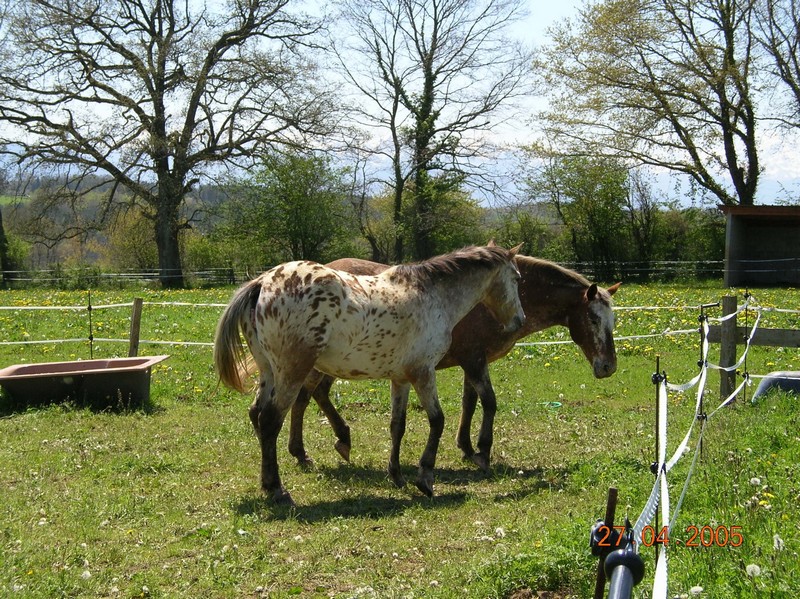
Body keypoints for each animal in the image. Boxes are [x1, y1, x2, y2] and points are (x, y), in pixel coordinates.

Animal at [212, 244, 524, 506]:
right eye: (517, 278)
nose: (518, 321)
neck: (432, 296)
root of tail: (262, 283)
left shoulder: (401, 378)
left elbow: (397, 425)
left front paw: (396, 475)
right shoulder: (423, 372)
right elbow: (437, 421)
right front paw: (425, 478)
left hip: (269, 372)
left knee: (257, 414)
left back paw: (269, 481)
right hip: (292, 372)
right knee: (270, 420)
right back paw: (278, 489)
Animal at [288, 253, 620, 474]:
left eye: (613, 320)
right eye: (593, 319)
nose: (608, 367)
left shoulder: (472, 362)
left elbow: (469, 403)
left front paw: (466, 447)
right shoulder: (474, 359)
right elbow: (489, 402)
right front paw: (483, 451)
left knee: (315, 395)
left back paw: (333, 442)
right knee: (304, 398)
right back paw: (306, 451)